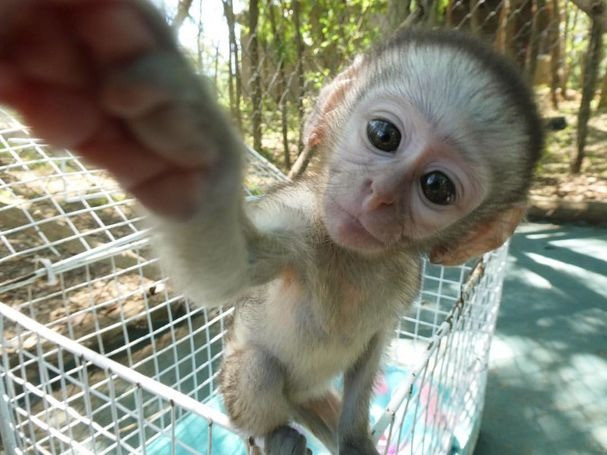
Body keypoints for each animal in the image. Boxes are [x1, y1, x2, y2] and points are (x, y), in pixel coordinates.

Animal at [0, 1, 544, 454]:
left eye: (437, 187)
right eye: (383, 134)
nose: (379, 194)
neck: (354, 257)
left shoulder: (405, 280)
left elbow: (370, 353)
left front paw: (356, 441)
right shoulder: (301, 220)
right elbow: (230, 271)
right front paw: (184, 146)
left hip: (312, 396)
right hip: (240, 394)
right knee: (259, 370)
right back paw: (273, 434)